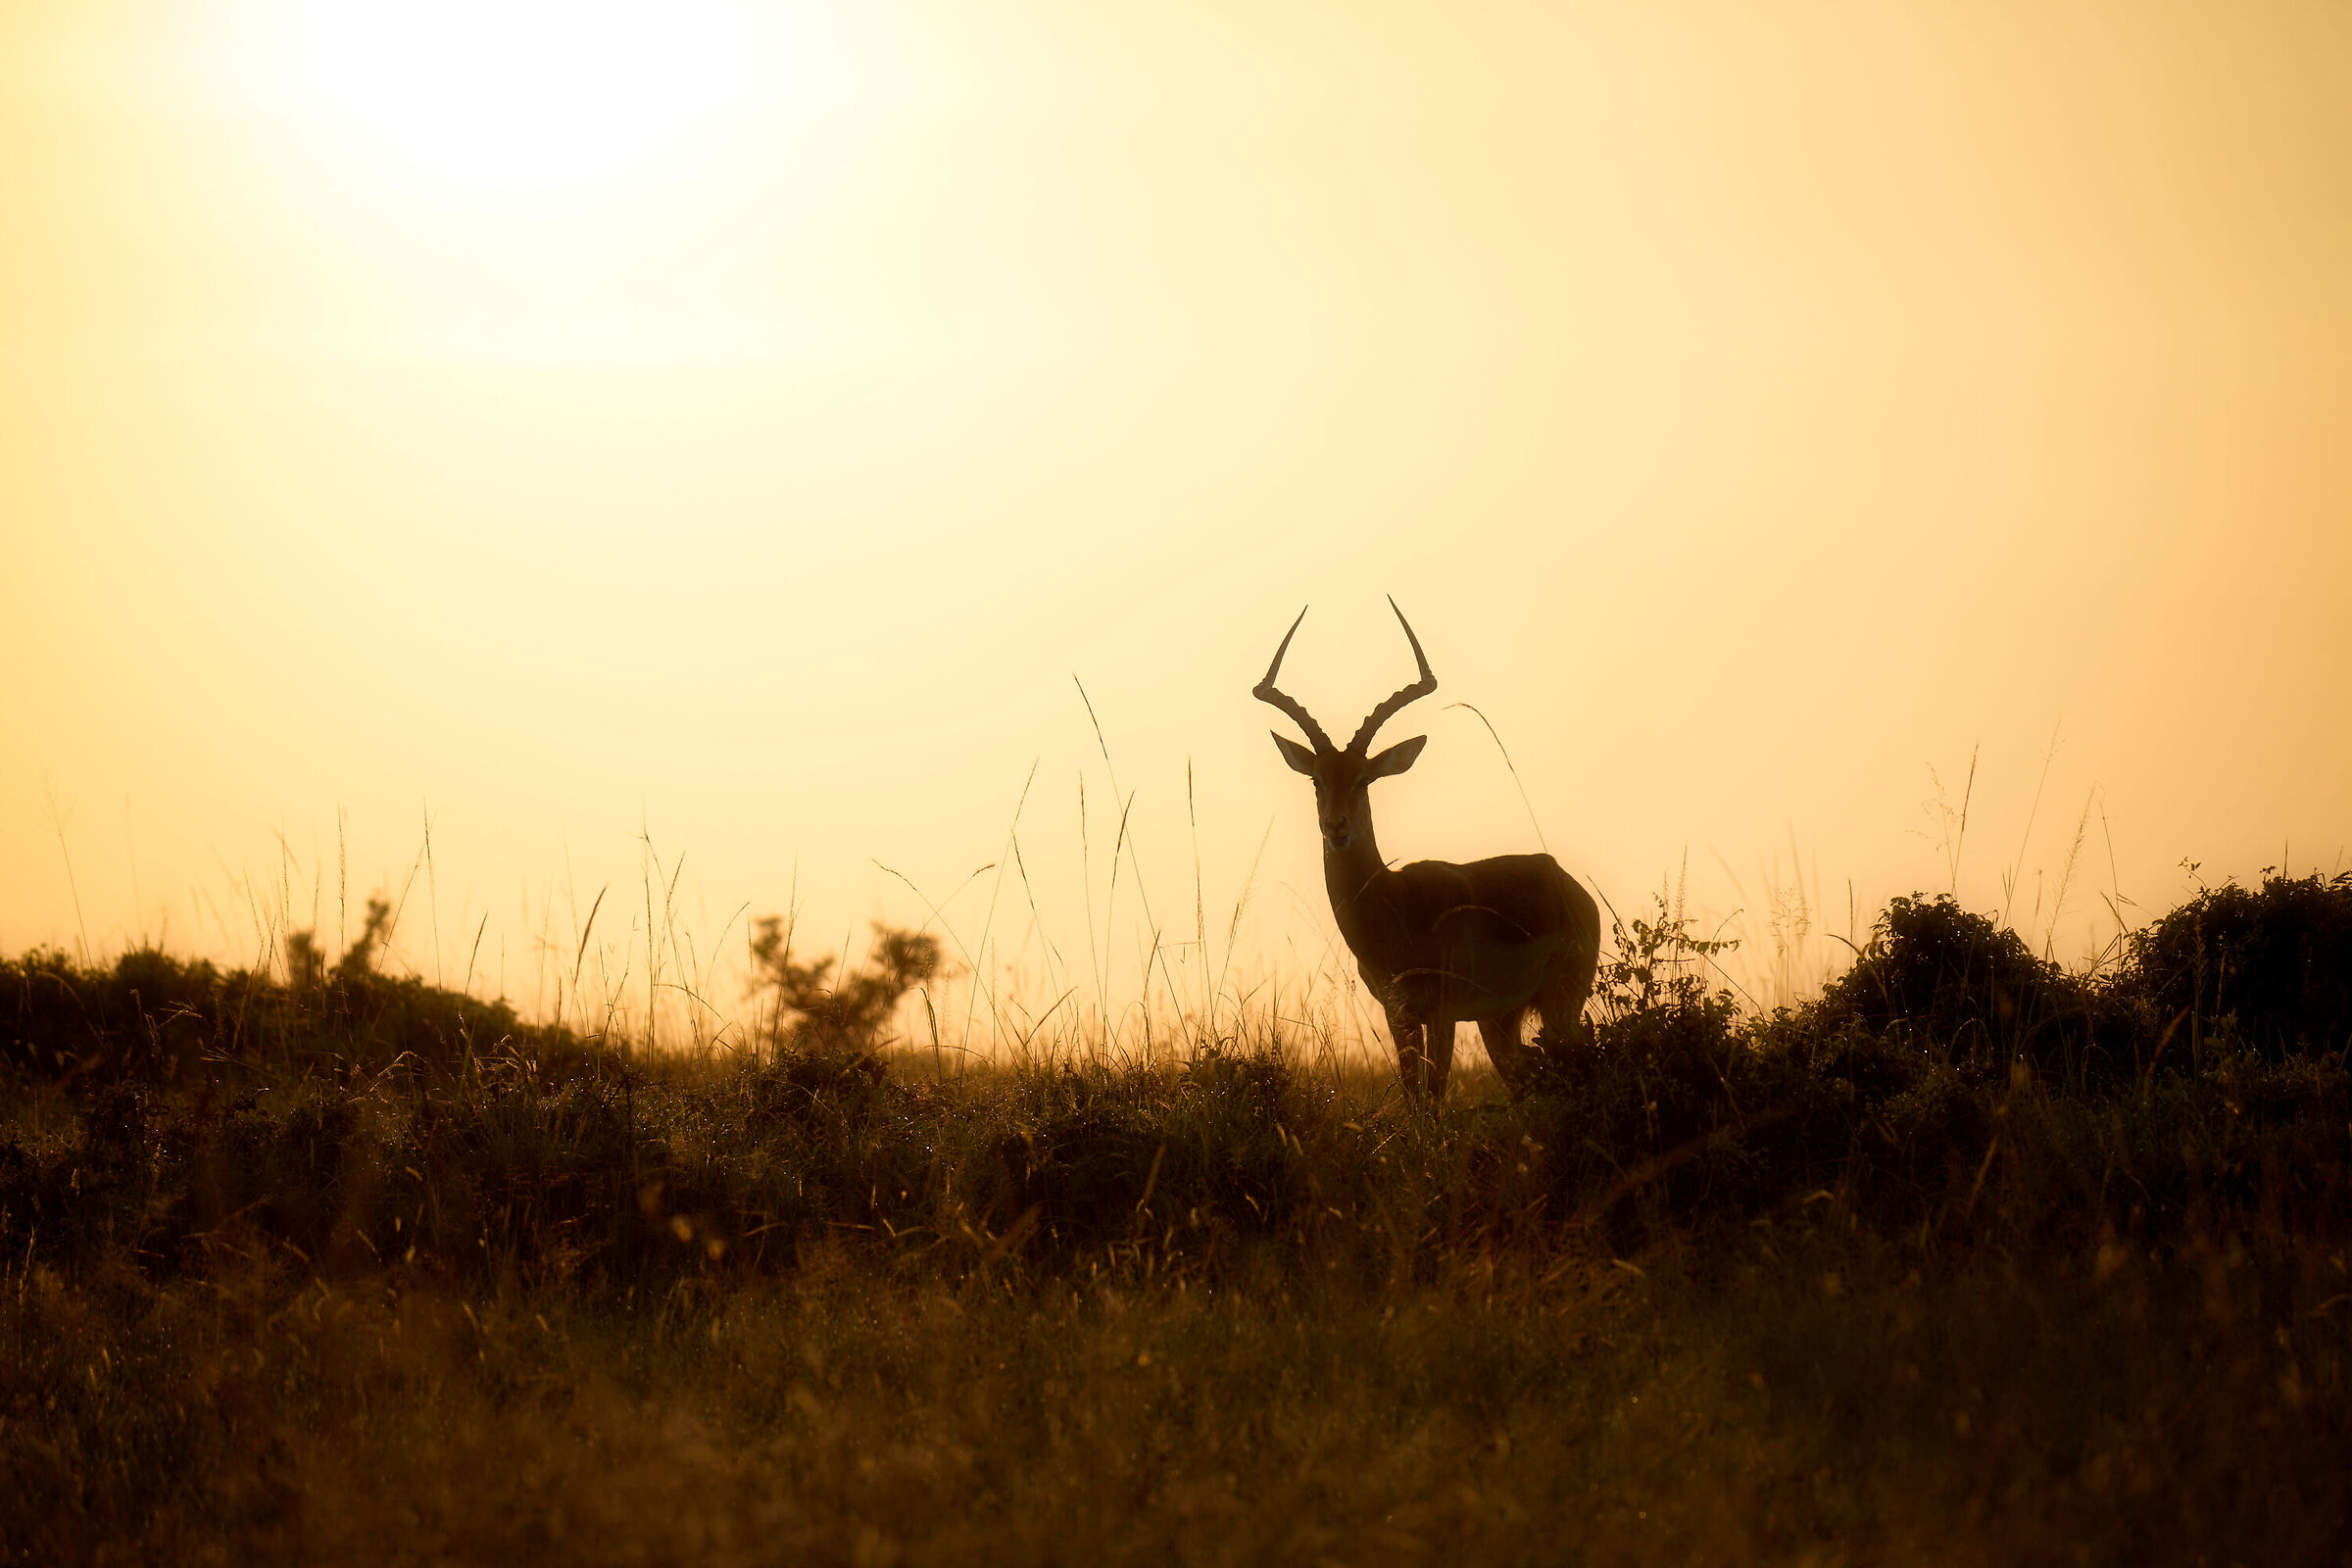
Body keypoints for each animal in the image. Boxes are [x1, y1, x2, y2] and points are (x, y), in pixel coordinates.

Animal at [1256, 599, 1601, 1105]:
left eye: (1364, 779)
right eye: (1317, 779)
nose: (1336, 827)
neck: (1393, 908)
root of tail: (1571, 886)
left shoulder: (1440, 1013)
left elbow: (1434, 1096)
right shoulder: (1398, 1014)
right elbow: (1414, 1096)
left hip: (1558, 1005)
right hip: (1501, 1020)